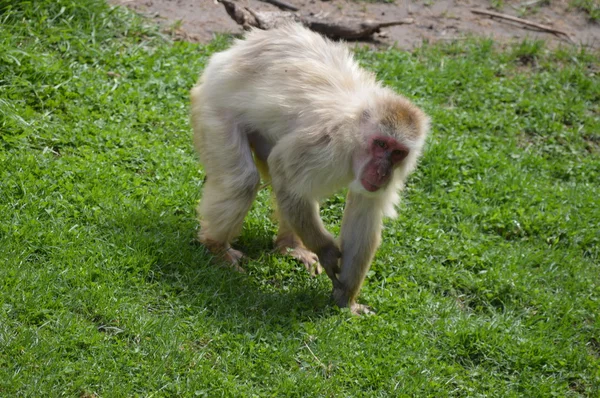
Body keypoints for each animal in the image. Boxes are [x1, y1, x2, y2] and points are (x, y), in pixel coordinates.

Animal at [190, 23, 428, 314]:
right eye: (380, 143)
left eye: (397, 152)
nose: (383, 171)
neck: (354, 138)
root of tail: (227, 55)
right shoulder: (326, 141)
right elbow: (282, 168)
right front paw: (326, 252)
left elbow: (364, 213)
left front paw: (345, 299)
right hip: (213, 110)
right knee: (244, 180)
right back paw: (217, 248)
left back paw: (291, 246)